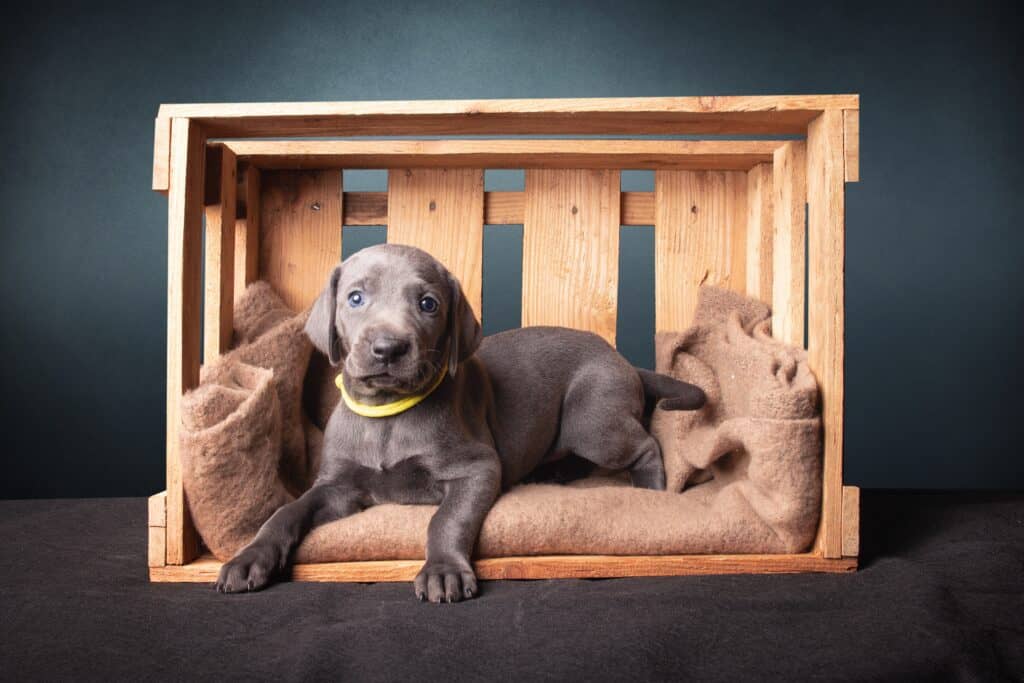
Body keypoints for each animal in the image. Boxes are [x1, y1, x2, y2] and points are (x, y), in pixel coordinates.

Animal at [215, 242, 704, 602]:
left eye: (428, 303)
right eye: (355, 297)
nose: (388, 348)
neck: (388, 416)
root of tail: (623, 361)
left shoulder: (477, 467)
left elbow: (446, 519)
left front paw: (443, 571)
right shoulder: (337, 486)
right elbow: (287, 510)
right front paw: (248, 558)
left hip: (594, 421)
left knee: (645, 444)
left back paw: (652, 488)